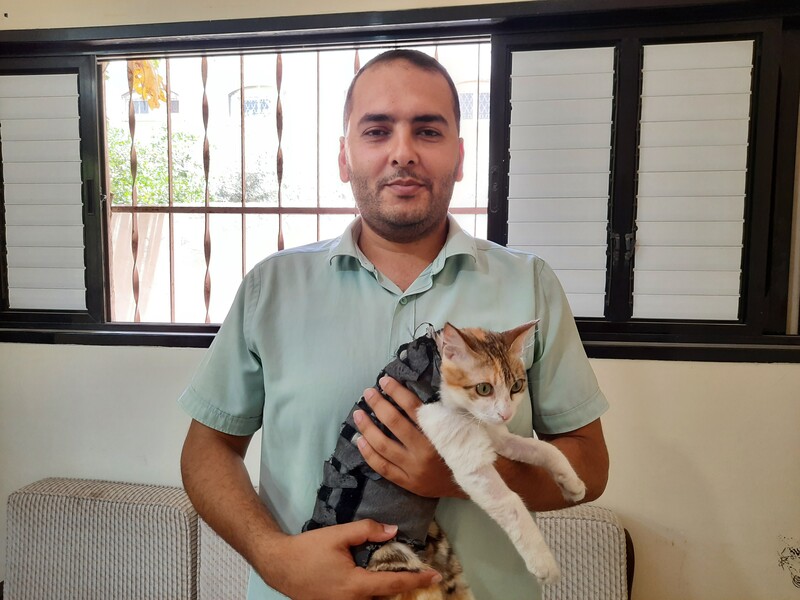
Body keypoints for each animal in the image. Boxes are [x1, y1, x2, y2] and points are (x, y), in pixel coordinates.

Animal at [304, 318, 584, 596]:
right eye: (484, 388)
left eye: (516, 386)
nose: (506, 414)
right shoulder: (467, 457)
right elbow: (510, 502)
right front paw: (543, 562)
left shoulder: (494, 433)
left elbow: (544, 449)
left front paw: (572, 483)